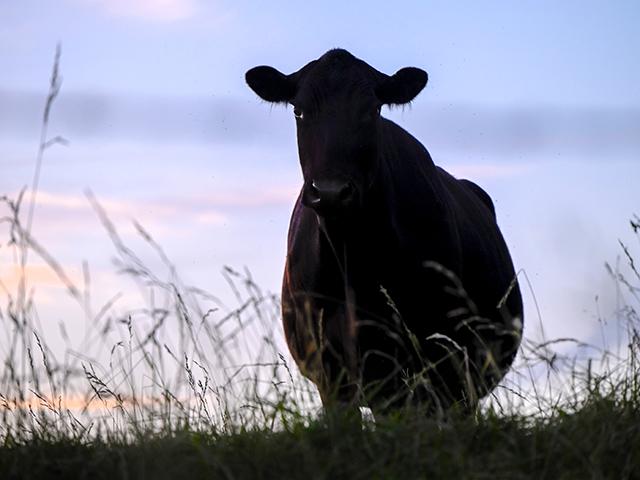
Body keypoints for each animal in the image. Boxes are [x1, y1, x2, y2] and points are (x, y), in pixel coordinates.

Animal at [246, 49, 523, 415]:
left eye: (372, 109)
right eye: (298, 110)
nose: (331, 191)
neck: (352, 261)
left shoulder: (428, 359)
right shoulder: (332, 374)